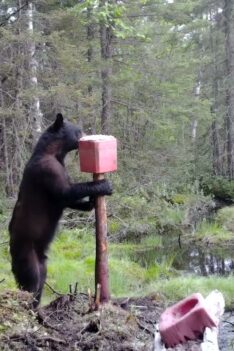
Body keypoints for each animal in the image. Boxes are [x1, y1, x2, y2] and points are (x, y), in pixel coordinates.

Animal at [8, 115, 112, 308]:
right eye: (78, 131)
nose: (86, 135)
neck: (54, 153)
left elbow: (67, 200)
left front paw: (91, 203)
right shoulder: (48, 170)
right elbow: (67, 191)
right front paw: (103, 185)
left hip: (41, 260)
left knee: (40, 280)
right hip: (26, 252)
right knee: (31, 281)